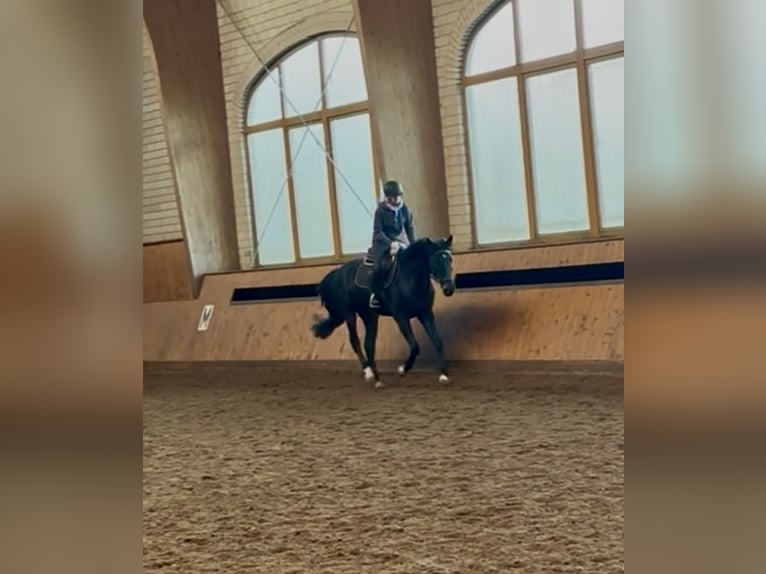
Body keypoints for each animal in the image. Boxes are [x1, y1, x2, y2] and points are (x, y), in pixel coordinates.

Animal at [310, 235, 456, 388]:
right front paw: (402, 369)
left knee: (369, 344)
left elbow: (437, 341)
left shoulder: (426, 313)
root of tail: (335, 274)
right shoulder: (401, 317)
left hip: (369, 316)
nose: (449, 289)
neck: (410, 277)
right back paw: (368, 371)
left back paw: (377, 379)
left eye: (450, 259)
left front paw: (444, 375)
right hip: (349, 314)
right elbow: (415, 346)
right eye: (436, 260)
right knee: (355, 341)